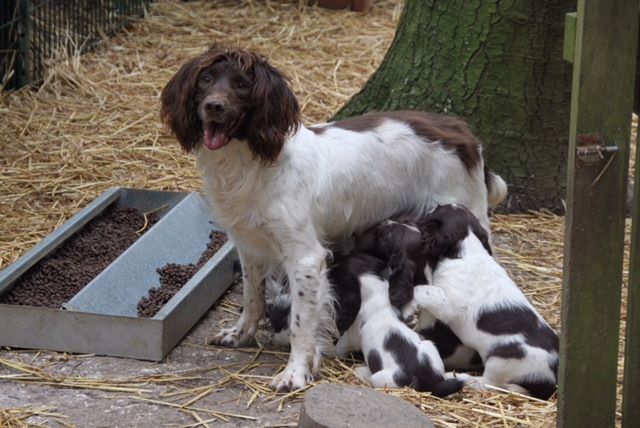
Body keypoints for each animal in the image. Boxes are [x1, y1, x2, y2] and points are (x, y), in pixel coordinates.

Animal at [332, 254, 462, 398]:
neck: (372, 284)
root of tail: (429, 381)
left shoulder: (350, 335)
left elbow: (340, 346)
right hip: (429, 346)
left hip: (380, 378)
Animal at [416, 206, 560, 400]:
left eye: (435, 211)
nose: (428, 209)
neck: (468, 250)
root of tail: (552, 380)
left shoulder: (449, 304)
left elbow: (426, 291)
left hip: (501, 358)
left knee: (488, 384)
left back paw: (462, 378)